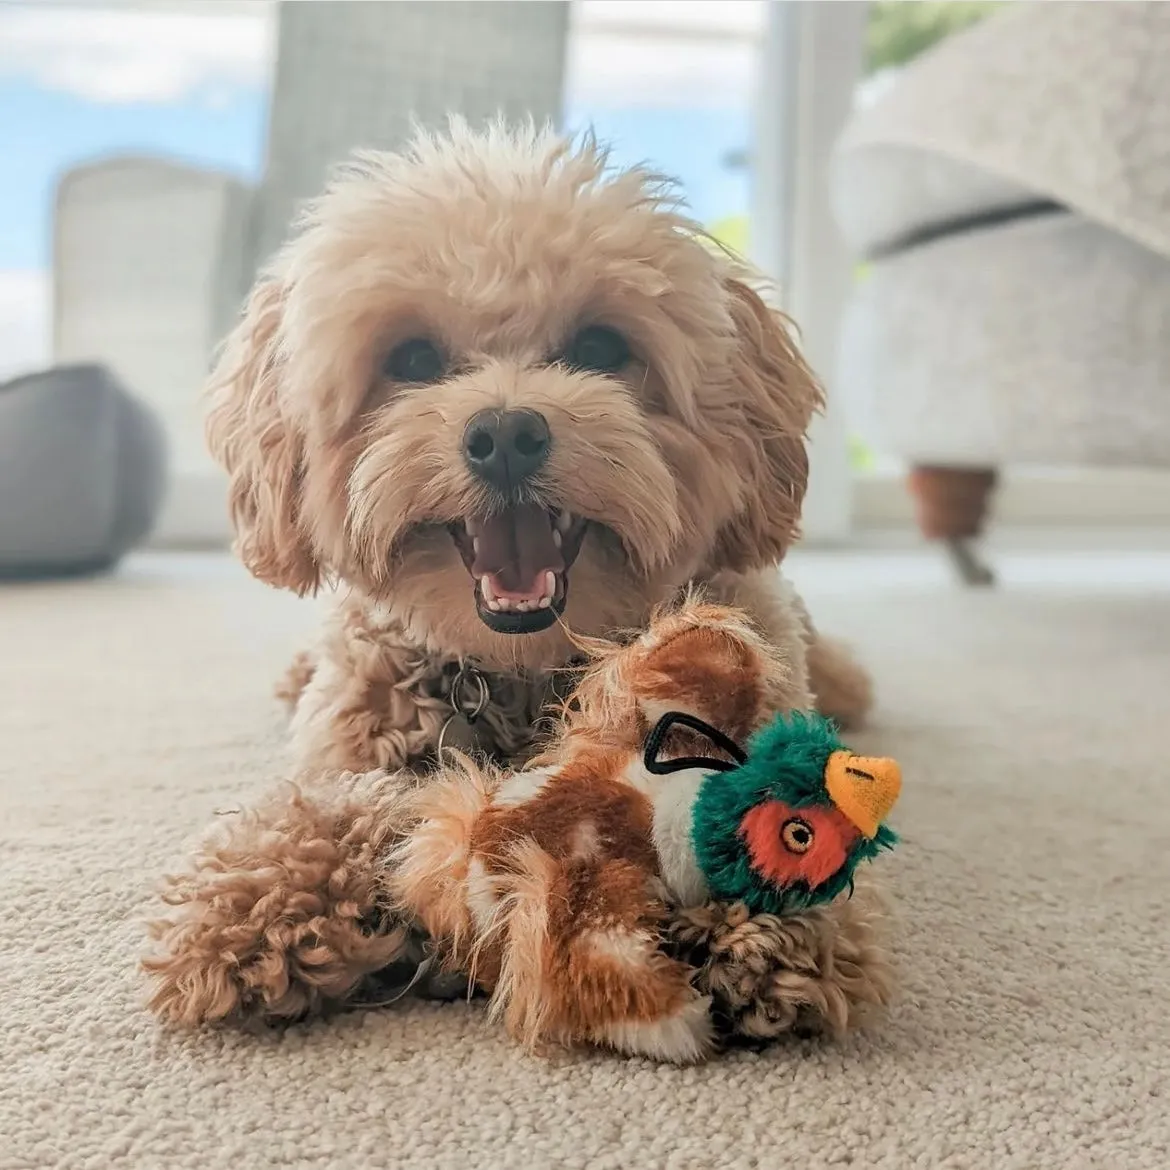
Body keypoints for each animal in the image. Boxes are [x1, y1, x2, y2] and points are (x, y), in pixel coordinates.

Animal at [143, 118, 884, 1034]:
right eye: (412, 357)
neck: (522, 673)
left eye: (600, 348)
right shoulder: (351, 735)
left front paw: (765, 916)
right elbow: (332, 801)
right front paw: (256, 898)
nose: (503, 435)